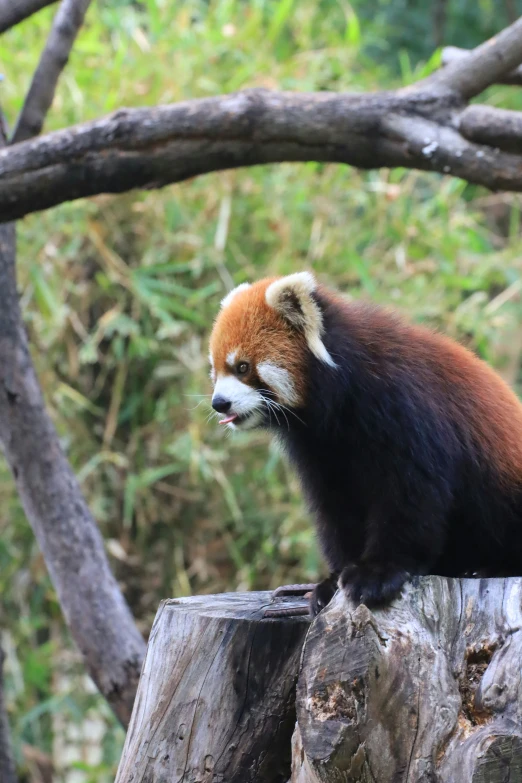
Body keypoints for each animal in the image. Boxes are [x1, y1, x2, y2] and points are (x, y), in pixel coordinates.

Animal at [207, 272, 522, 616]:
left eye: (242, 367)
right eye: (215, 370)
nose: (219, 403)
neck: (342, 393)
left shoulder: (407, 409)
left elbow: (410, 496)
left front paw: (377, 573)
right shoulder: (322, 448)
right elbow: (336, 507)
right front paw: (333, 580)